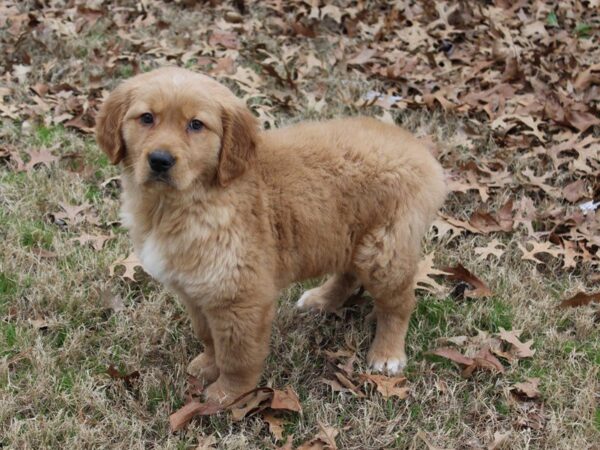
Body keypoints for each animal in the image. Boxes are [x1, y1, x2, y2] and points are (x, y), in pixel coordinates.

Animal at [95, 66, 446, 404]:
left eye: (196, 125)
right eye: (146, 118)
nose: (160, 160)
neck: (182, 204)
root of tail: (416, 147)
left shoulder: (241, 296)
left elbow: (237, 355)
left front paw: (228, 395)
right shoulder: (196, 289)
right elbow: (208, 336)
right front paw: (207, 365)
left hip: (383, 252)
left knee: (400, 303)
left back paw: (387, 353)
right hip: (349, 235)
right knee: (347, 273)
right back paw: (322, 300)